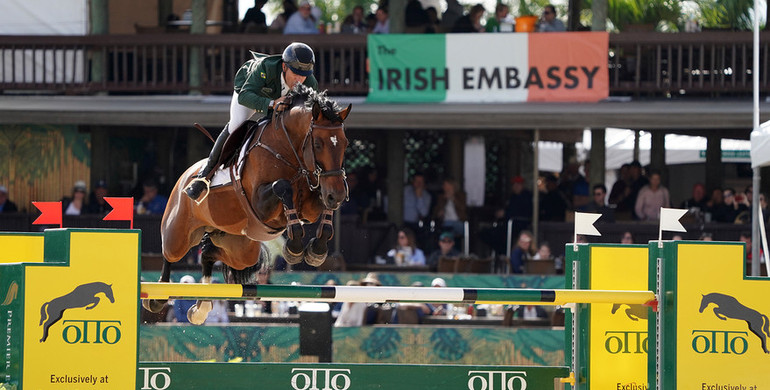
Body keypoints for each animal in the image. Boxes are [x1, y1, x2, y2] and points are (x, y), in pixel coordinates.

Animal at [142, 84, 352, 322]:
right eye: (317, 143)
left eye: (345, 143)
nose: (338, 194)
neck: (288, 151)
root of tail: (186, 175)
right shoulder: (261, 205)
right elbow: (282, 186)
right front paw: (295, 248)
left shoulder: (310, 206)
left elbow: (321, 205)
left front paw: (316, 249)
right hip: (179, 234)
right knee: (169, 255)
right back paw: (158, 299)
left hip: (239, 249)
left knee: (208, 254)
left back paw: (201, 307)